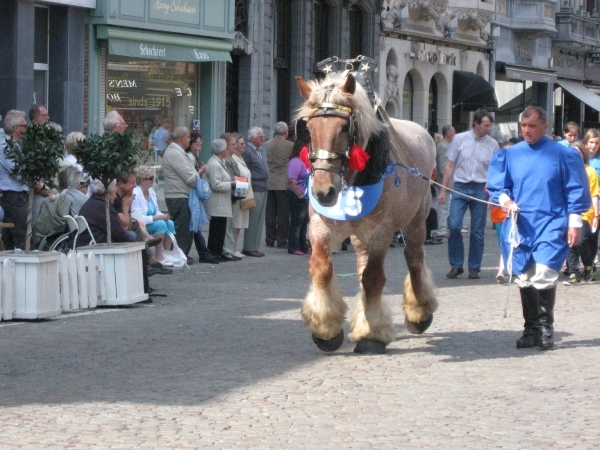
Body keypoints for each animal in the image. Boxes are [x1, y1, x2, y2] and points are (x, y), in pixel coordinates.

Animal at [298, 72, 438, 354]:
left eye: (344, 128)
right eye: (308, 128)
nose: (323, 191)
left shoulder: (379, 233)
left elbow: (373, 279)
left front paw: (372, 335)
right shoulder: (320, 227)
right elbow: (321, 268)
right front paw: (326, 329)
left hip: (417, 219)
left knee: (414, 257)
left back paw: (419, 313)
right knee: (364, 264)